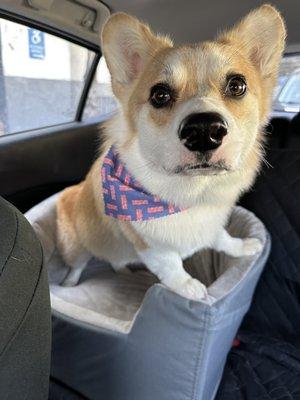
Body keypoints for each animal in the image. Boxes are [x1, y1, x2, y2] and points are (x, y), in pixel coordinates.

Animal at [56, 3, 286, 300]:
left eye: (237, 85)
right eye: (160, 95)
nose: (204, 131)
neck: (191, 194)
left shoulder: (211, 224)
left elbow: (223, 238)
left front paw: (244, 246)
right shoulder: (153, 249)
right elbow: (173, 269)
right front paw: (191, 289)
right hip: (78, 245)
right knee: (77, 264)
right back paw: (69, 283)